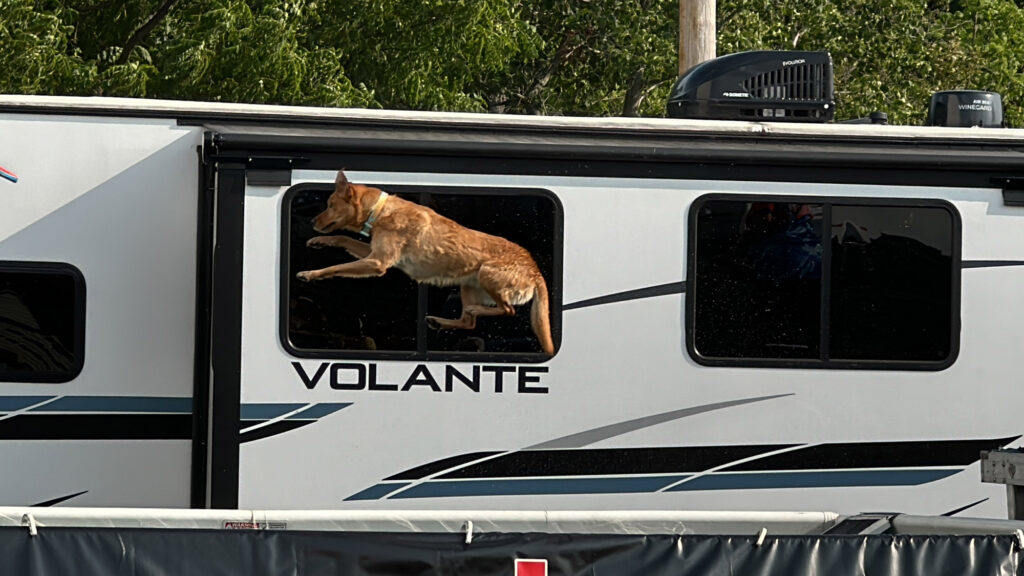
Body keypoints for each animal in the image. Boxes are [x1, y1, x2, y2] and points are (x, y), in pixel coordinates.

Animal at [292, 169, 557, 354]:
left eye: (330, 205)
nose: (312, 221)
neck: (379, 211)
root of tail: (535, 270)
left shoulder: (377, 262)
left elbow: (336, 267)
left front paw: (310, 274)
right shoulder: (372, 252)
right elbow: (342, 237)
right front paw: (318, 242)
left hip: (486, 274)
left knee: (507, 310)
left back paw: (467, 312)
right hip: (468, 284)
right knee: (469, 322)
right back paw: (440, 321)